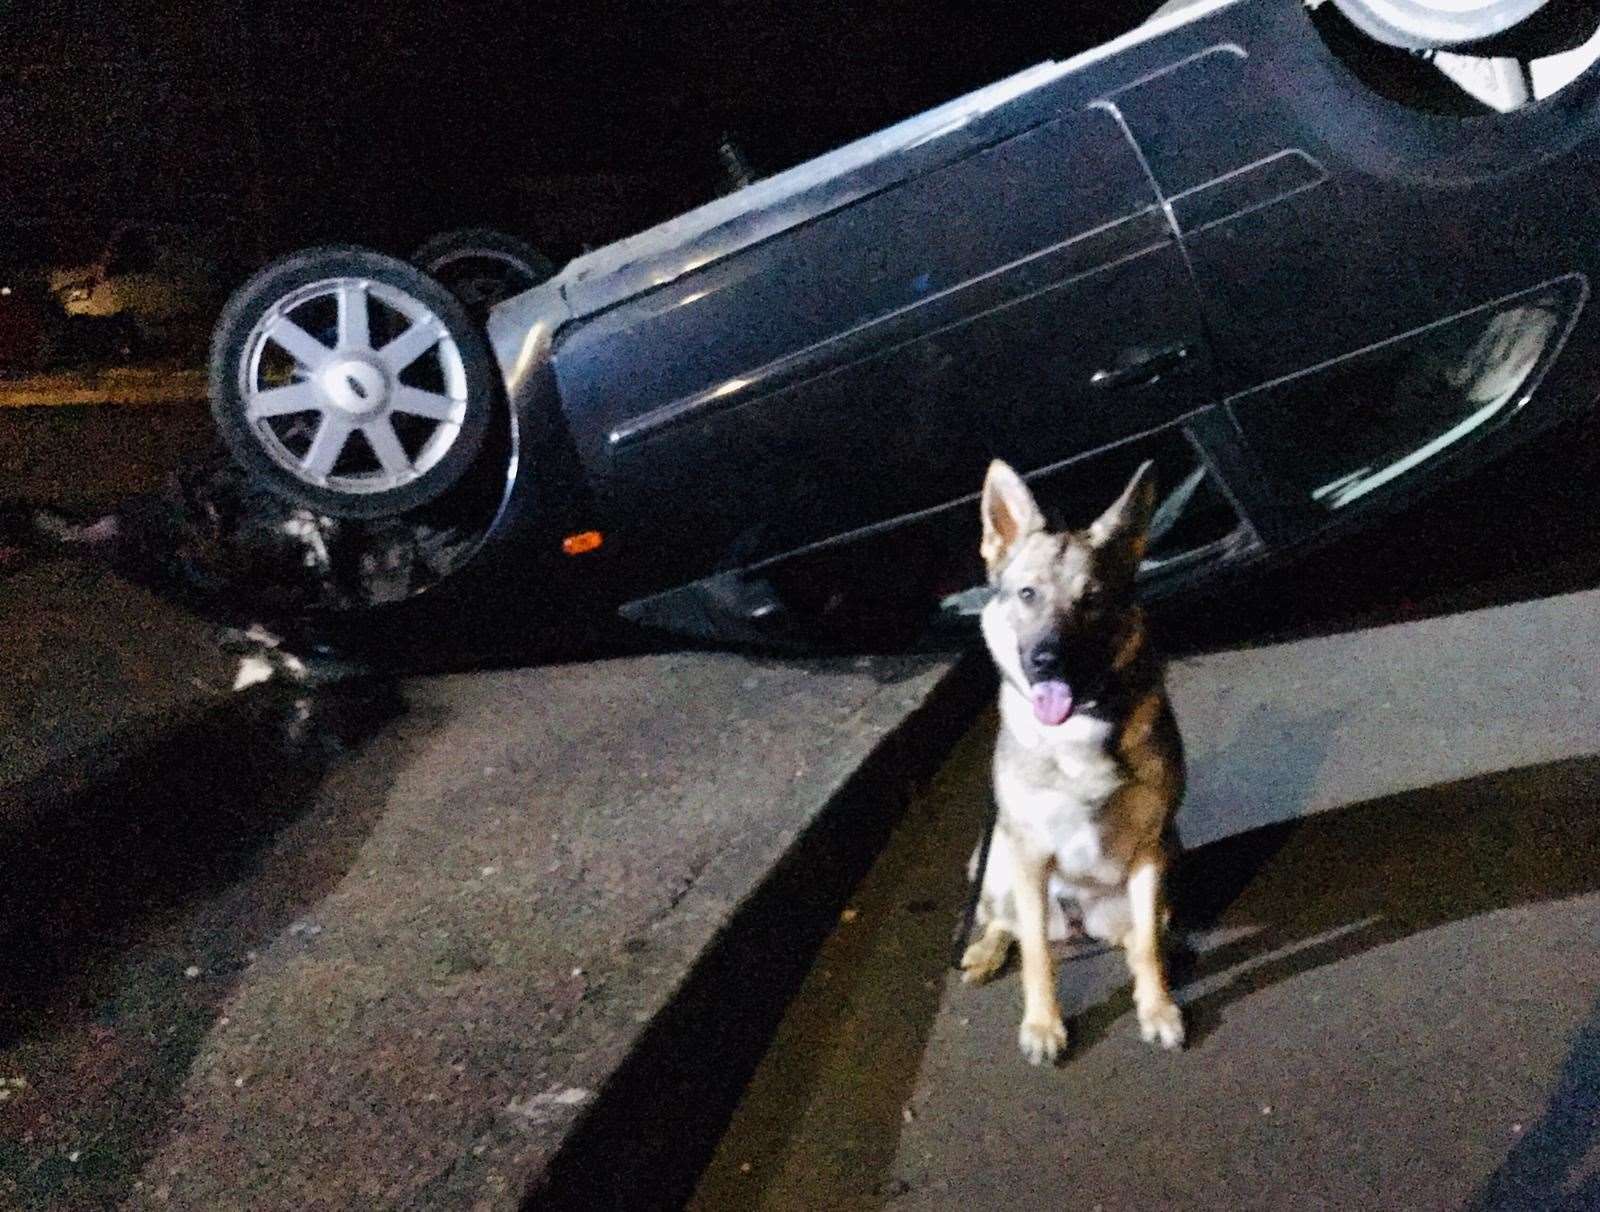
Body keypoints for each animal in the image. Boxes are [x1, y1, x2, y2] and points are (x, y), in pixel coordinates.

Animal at [953, 460, 1184, 1068]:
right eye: (1027, 593)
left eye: (1093, 599)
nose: (1045, 660)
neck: (1078, 725)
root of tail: (1075, 928)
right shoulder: (1029, 855)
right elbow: (1035, 954)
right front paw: (1042, 1025)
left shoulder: (1150, 850)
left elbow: (1147, 946)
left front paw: (1156, 1007)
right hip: (992, 860)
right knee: (1004, 922)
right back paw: (985, 950)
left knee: (1142, 934)